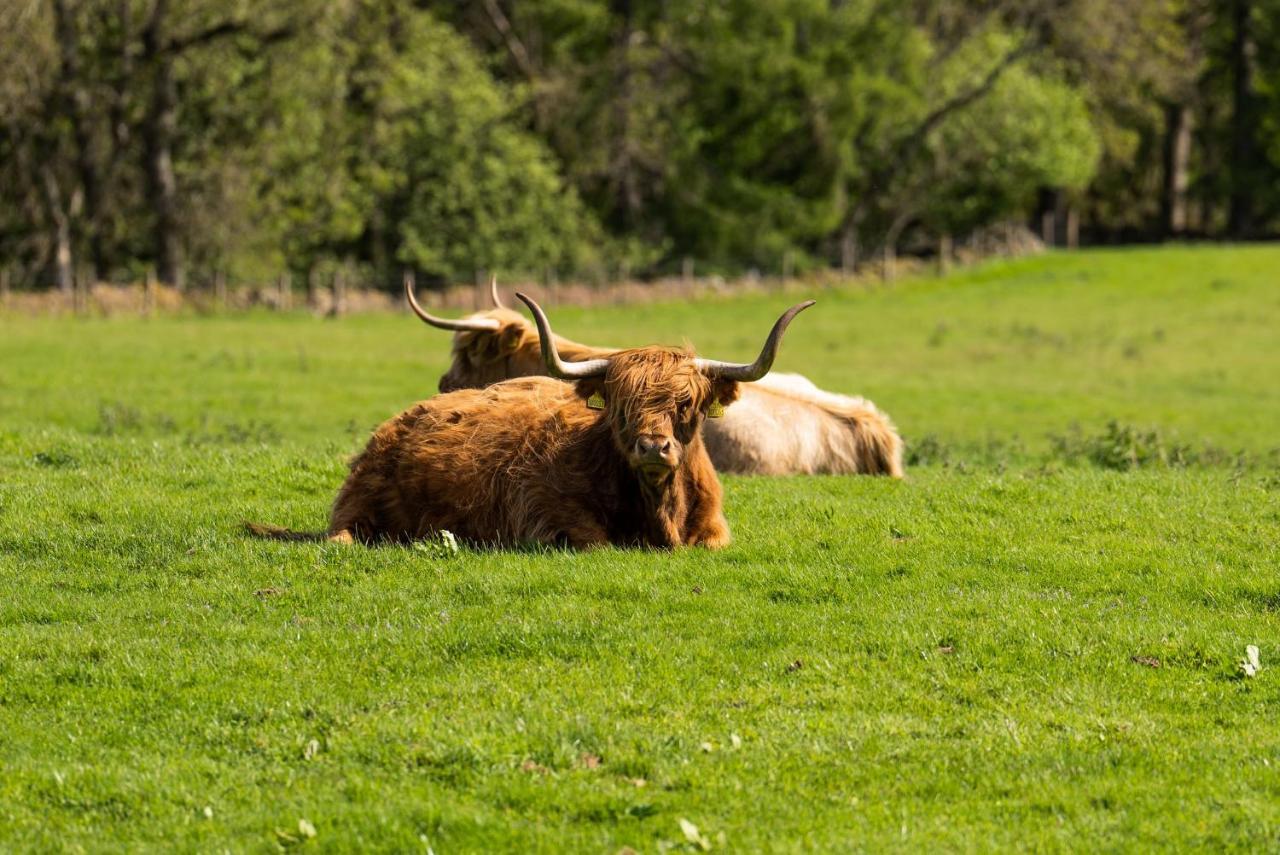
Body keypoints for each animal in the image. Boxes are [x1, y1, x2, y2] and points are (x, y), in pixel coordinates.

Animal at [325, 294, 814, 547]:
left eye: (687, 404)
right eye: (620, 405)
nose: (653, 448)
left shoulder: (714, 529)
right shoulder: (542, 509)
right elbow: (594, 539)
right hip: (357, 499)